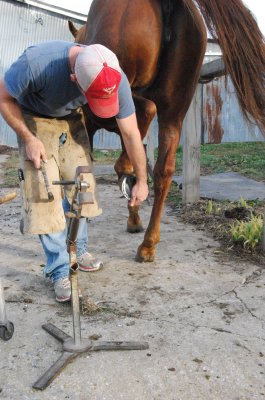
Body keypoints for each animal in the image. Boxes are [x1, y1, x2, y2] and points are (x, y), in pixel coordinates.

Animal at [68, 0, 264, 264]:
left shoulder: (92, 120)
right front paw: (134, 216)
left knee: (147, 111)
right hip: (174, 109)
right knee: (164, 170)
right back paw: (148, 243)